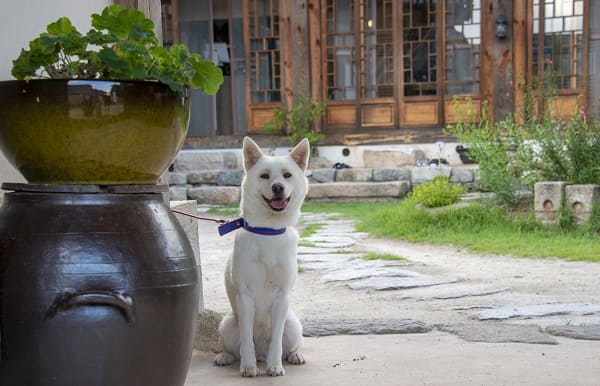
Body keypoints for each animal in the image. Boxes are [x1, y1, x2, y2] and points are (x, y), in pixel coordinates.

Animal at [214, 136, 310, 376]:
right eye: (264, 175)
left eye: (287, 175)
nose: (278, 187)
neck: (268, 231)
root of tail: (261, 355)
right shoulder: (245, 297)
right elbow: (247, 339)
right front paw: (248, 367)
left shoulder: (282, 297)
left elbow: (276, 340)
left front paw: (275, 366)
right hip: (227, 323)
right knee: (233, 347)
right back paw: (226, 357)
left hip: (293, 324)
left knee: (292, 344)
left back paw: (294, 356)